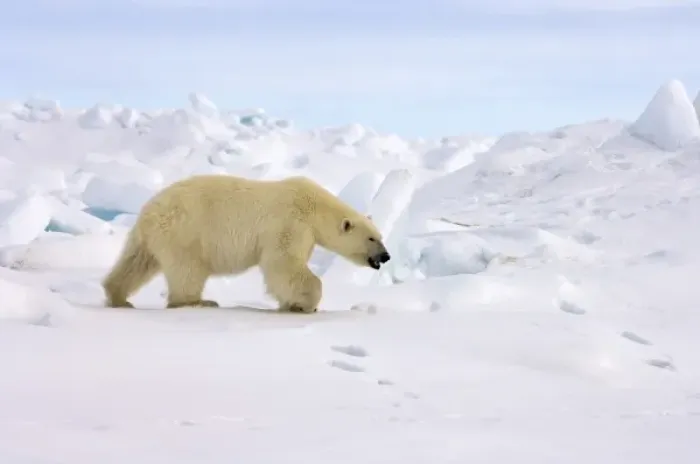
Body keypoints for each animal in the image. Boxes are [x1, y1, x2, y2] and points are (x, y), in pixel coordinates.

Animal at [101, 173, 391, 312]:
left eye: (381, 236)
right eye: (371, 238)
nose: (386, 256)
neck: (313, 206)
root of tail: (147, 213)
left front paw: (289, 303)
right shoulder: (289, 223)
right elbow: (283, 263)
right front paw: (306, 305)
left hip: (152, 237)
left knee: (136, 262)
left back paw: (118, 296)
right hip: (185, 232)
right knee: (188, 270)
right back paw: (198, 302)